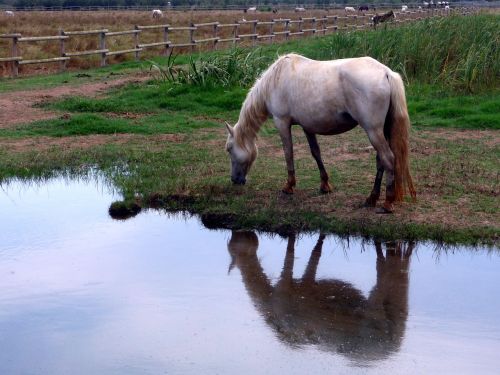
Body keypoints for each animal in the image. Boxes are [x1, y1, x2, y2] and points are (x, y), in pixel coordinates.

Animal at [225, 54, 416, 213]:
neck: (276, 79)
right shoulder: (307, 126)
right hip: (381, 131)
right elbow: (316, 153)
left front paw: (289, 186)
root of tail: (386, 73)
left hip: (373, 131)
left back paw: (387, 203)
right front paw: (325, 185)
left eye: (229, 149)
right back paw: (371, 199)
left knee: (388, 159)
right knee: (381, 162)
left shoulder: (282, 122)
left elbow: (288, 153)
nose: (234, 180)